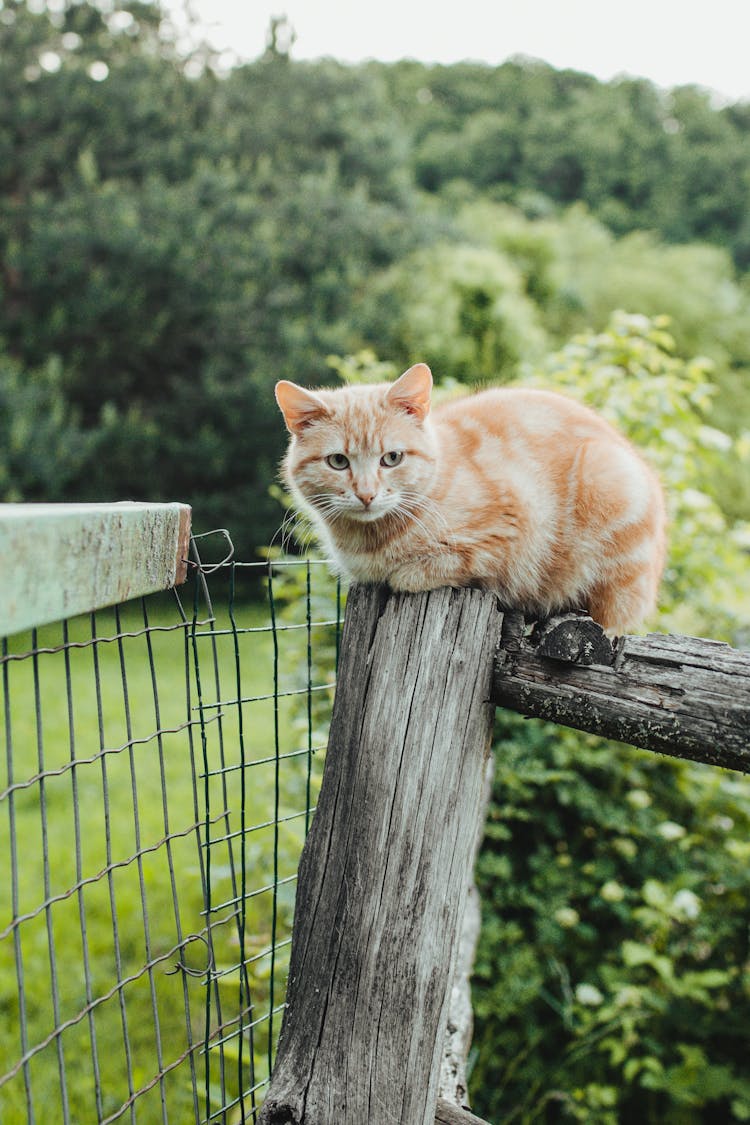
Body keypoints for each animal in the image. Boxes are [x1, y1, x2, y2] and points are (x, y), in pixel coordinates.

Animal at [274, 366, 661, 639]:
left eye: (392, 458)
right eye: (338, 462)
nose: (366, 493)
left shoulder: (512, 528)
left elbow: (442, 565)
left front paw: (405, 572)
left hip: (608, 484)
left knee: (613, 618)